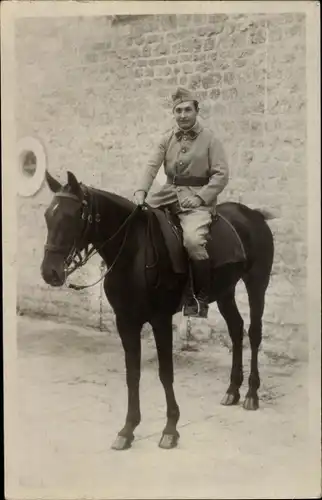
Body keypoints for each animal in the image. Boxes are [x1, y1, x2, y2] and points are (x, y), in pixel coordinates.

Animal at [40, 170, 274, 452]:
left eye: (72, 216)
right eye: (47, 216)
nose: (49, 272)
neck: (133, 252)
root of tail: (253, 214)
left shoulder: (160, 320)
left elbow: (165, 373)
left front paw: (170, 428)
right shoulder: (126, 322)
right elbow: (133, 374)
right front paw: (128, 429)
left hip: (257, 283)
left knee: (254, 332)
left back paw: (251, 393)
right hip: (225, 290)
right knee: (236, 329)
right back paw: (232, 390)